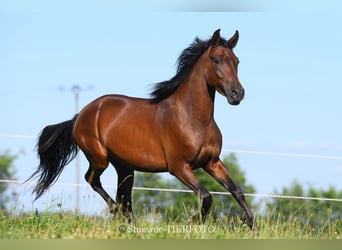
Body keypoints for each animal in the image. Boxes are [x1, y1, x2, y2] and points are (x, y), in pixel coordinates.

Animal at [28, 28, 254, 229]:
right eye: (216, 60)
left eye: (236, 61)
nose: (237, 93)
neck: (193, 119)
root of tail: (80, 115)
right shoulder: (179, 167)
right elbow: (207, 196)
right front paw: (192, 220)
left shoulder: (212, 162)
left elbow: (237, 191)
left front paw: (252, 225)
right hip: (100, 158)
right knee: (92, 180)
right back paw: (117, 212)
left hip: (124, 166)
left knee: (123, 194)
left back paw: (130, 222)